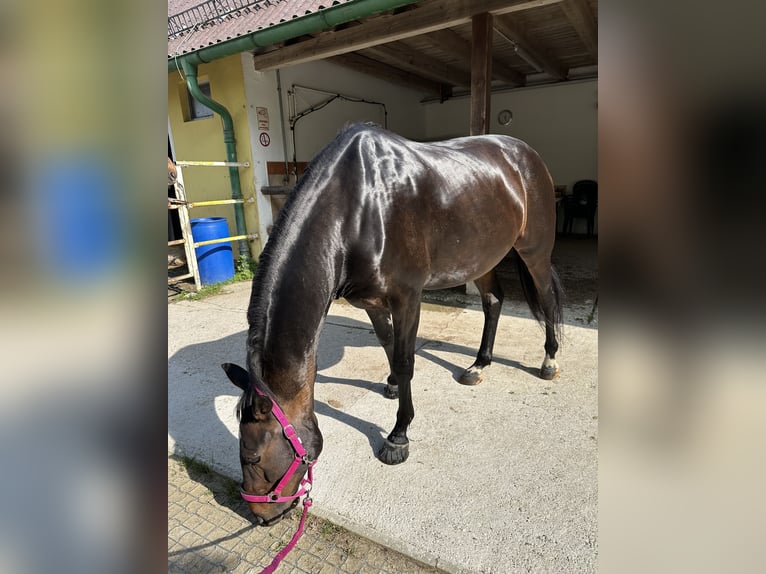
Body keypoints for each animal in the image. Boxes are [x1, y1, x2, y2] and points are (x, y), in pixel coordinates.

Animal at [222, 123, 563, 526]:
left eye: (253, 457)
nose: (260, 516)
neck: (359, 207)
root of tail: (526, 155)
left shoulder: (407, 298)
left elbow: (404, 359)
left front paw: (399, 435)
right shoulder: (369, 301)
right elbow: (387, 344)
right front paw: (392, 387)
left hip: (534, 251)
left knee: (546, 299)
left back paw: (549, 360)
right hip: (483, 258)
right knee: (493, 302)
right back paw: (478, 365)